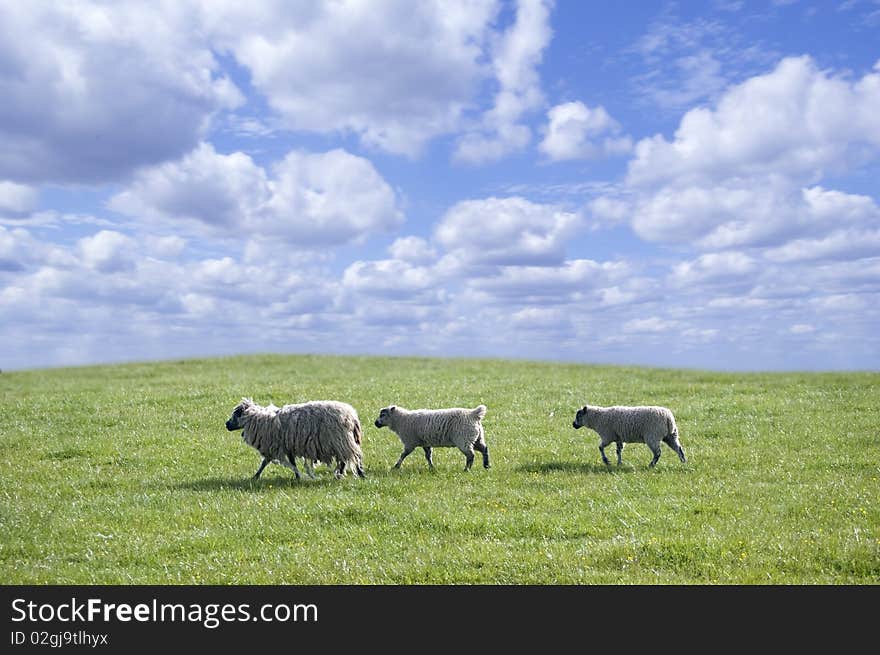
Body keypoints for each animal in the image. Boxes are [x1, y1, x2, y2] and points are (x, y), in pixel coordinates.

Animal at [227, 398, 368, 480]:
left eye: (236, 414)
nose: (226, 424)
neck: (259, 419)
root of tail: (353, 416)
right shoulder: (287, 446)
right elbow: (291, 462)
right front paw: (297, 476)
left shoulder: (274, 446)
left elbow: (265, 462)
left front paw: (255, 477)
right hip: (343, 441)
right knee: (348, 458)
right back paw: (343, 474)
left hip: (340, 440)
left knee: (352, 457)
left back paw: (358, 474)